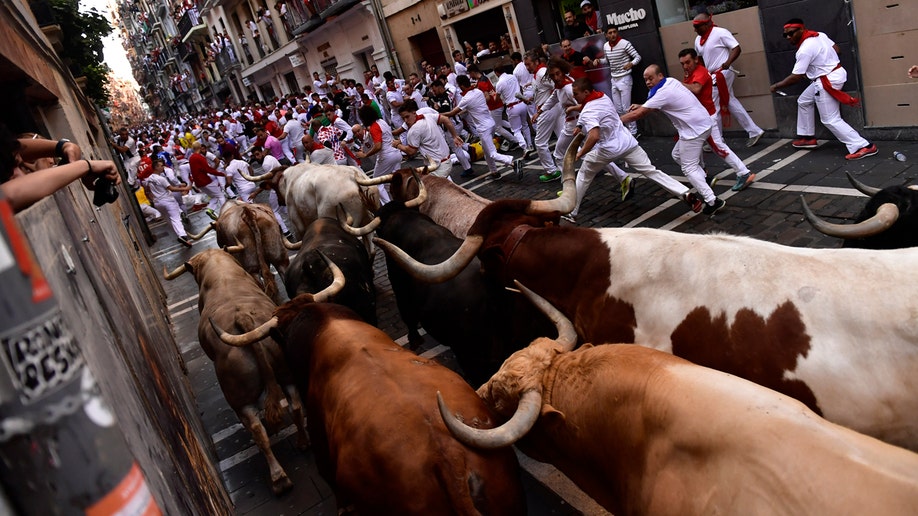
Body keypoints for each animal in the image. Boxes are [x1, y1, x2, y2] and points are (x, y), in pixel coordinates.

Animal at [164, 250, 310, 496]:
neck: (220, 269)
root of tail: (243, 318)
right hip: (285, 373)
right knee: (296, 407)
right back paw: (302, 442)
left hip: (239, 398)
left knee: (257, 430)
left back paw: (278, 478)